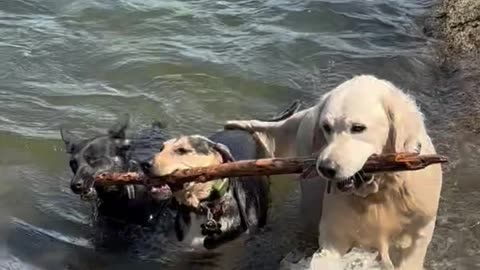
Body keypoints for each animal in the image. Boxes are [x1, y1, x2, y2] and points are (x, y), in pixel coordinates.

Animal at [225, 74, 442, 270]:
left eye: (358, 128)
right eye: (326, 127)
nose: (325, 168)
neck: (379, 193)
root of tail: (309, 111)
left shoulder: (418, 233)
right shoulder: (335, 235)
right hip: (312, 200)